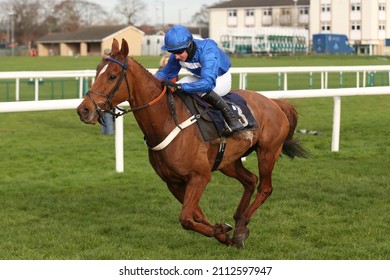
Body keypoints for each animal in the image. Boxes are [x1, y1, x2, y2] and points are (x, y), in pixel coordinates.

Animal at [76, 38, 308, 248]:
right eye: (97, 73)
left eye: (112, 76)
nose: (83, 110)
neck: (168, 120)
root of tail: (274, 102)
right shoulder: (174, 182)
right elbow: (196, 214)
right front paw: (222, 231)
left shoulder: (199, 176)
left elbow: (186, 218)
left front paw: (222, 231)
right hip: (227, 161)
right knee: (250, 180)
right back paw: (238, 222)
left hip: (267, 151)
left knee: (265, 188)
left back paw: (242, 224)